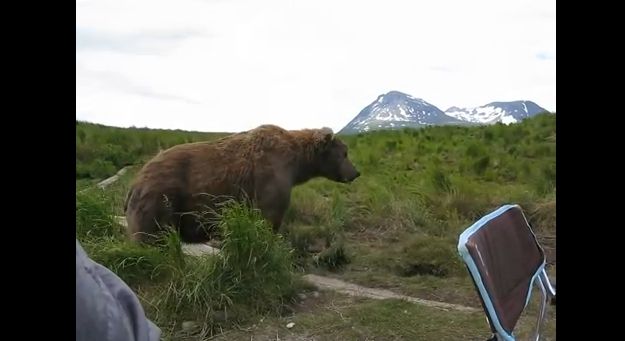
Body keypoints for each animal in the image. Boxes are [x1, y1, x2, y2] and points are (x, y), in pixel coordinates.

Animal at [122, 123, 358, 243]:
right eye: (345, 153)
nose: (356, 172)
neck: (297, 163)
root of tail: (134, 182)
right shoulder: (271, 177)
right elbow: (269, 216)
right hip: (160, 201)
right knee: (152, 239)